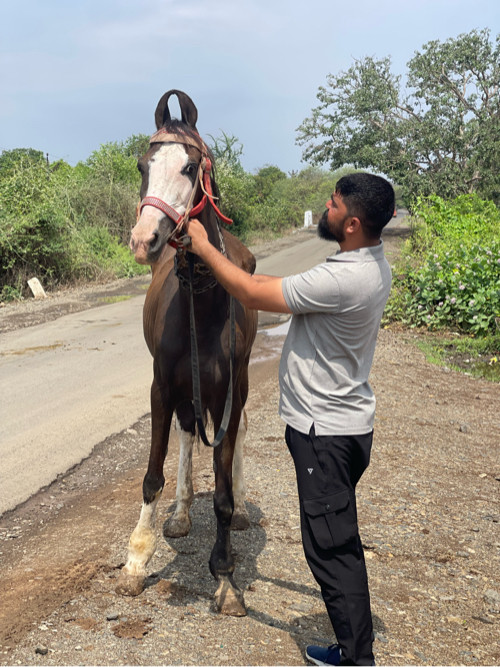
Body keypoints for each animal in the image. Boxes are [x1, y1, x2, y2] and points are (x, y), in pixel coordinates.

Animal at [116, 88, 258, 616]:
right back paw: (178, 512)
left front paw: (225, 577)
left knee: (235, 436)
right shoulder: (162, 387)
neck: (201, 300)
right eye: (143, 164)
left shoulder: (227, 393)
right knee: (185, 433)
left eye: (190, 166)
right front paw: (137, 559)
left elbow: (222, 492)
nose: (144, 240)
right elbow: (152, 475)